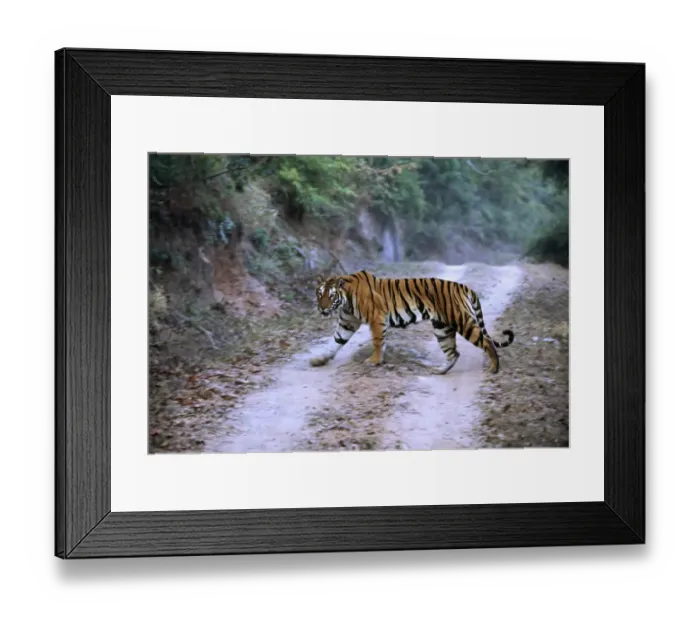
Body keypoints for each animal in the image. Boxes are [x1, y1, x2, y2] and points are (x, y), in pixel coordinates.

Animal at [311, 269, 514, 375]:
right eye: (320, 294)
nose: (322, 309)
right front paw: (319, 359)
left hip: (462, 321)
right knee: (453, 353)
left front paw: (374, 361)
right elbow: (336, 341)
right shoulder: (347, 322)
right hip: (442, 328)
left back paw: (494, 368)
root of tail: (463, 286)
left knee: (486, 341)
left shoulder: (377, 318)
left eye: (330, 296)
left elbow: (377, 341)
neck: (345, 301)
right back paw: (440, 371)